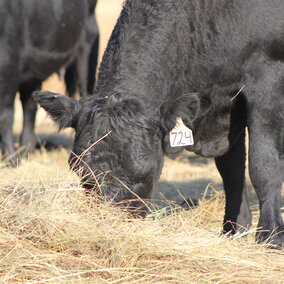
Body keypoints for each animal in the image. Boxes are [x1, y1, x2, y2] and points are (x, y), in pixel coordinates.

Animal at [0, 0, 98, 164]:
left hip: (87, 48)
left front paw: (11, 159)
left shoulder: (9, 65)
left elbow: (6, 114)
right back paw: (26, 151)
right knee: (30, 107)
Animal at [34, 0, 284, 247]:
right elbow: (231, 170)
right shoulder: (225, 108)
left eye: (145, 173)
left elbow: (263, 165)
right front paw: (233, 230)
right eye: (82, 172)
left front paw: (270, 236)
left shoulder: (267, 80)